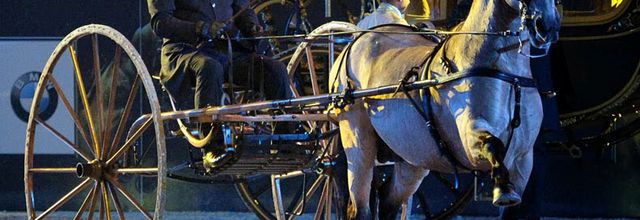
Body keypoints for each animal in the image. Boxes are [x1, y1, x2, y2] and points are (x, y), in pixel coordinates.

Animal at [330, 0, 560, 218]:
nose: (547, 26)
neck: (506, 73)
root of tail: (355, 43)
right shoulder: (468, 140)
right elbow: (492, 144)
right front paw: (503, 188)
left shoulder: (522, 160)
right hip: (358, 143)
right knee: (360, 207)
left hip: (412, 156)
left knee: (388, 200)